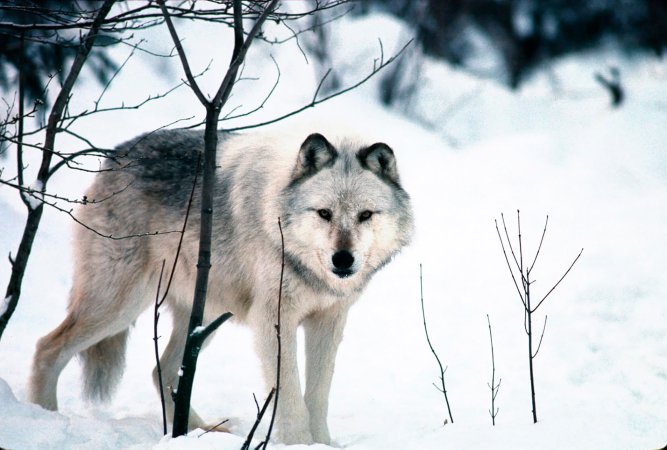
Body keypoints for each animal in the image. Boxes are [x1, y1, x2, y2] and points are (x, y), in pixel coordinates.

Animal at [30, 125, 412, 442]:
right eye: (324, 214)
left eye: (365, 215)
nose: (343, 260)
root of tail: (114, 155)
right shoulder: (273, 320)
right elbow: (290, 395)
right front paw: (300, 444)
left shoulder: (328, 321)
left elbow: (317, 396)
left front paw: (322, 444)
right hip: (119, 306)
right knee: (48, 348)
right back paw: (42, 415)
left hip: (203, 316)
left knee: (163, 371)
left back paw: (198, 432)